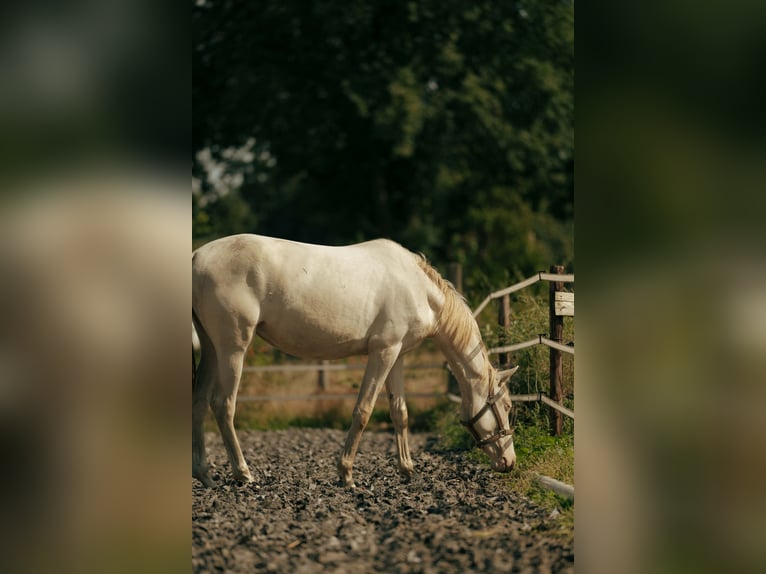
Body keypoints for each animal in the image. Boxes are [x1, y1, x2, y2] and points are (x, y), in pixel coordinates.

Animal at [192, 234, 520, 490]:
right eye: (506, 406)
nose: (509, 462)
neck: (418, 288)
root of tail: (197, 257)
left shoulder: (398, 355)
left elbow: (400, 412)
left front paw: (407, 469)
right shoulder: (383, 352)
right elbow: (364, 410)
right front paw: (346, 473)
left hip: (210, 349)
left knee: (199, 402)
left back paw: (204, 475)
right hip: (232, 348)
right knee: (223, 405)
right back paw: (243, 473)